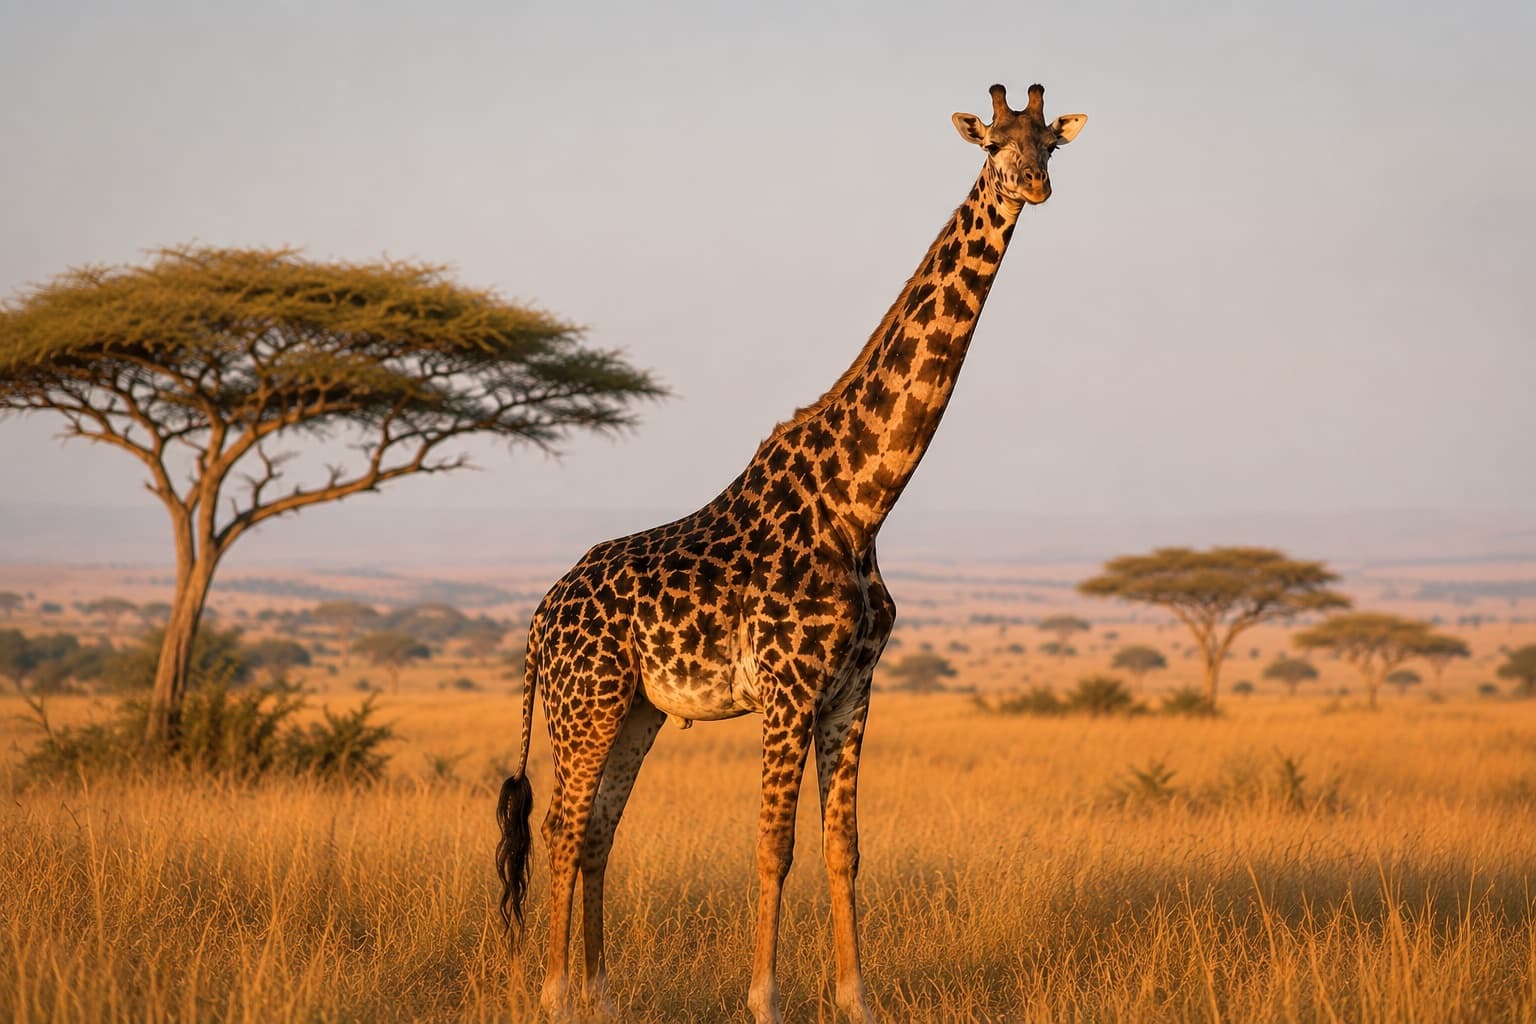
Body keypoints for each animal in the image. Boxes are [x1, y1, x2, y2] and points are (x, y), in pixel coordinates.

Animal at [497, 82, 1086, 1023]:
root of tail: (539, 618)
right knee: (561, 825)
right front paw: (764, 999)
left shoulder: (852, 690)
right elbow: (774, 847)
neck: (861, 507)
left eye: (1052, 146)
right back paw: (555, 993)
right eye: (994, 144)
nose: (1034, 186)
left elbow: (845, 850)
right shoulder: (785, 690)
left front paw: (857, 999)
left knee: (597, 831)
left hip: (638, 709)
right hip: (584, 702)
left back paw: (603, 991)